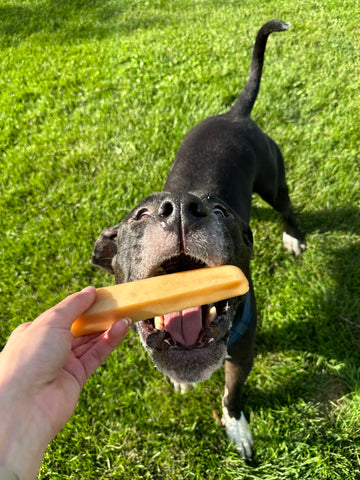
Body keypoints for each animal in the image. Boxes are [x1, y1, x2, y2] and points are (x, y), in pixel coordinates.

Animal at [89, 20, 304, 456]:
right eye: (140, 215)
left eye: (220, 212)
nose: (181, 209)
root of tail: (235, 114)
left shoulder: (242, 354)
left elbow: (232, 394)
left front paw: (237, 428)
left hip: (273, 180)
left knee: (286, 206)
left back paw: (292, 237)